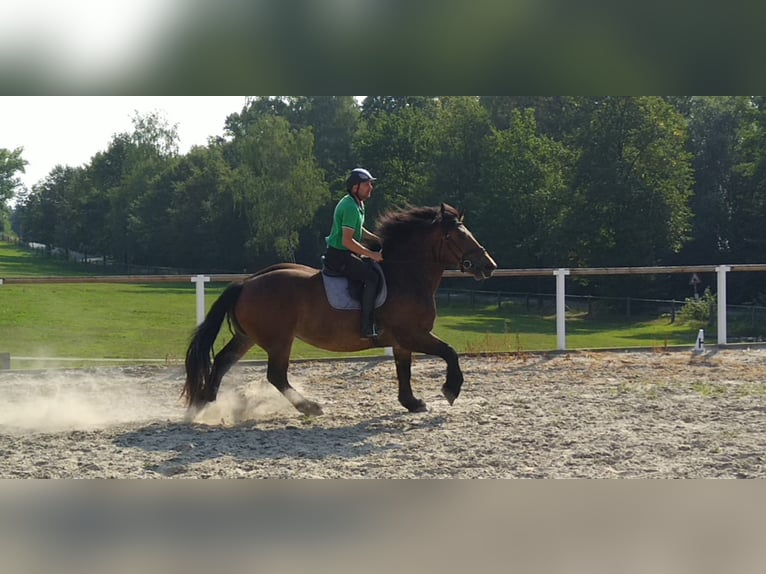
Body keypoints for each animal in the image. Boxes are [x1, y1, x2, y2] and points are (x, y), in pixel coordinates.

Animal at [184, 204, 500, 418]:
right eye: (457, 237)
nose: (489, 265)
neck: (406, 276)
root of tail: (247, 283)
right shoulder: (414, 335)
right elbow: (450, 352)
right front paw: (450, 390)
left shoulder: (402, 342)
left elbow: (404, 370)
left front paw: (412, 402)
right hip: (279, 340)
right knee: (276, 375)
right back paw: (310, 407)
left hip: (248, 337)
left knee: (223, 361)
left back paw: (202, 406)